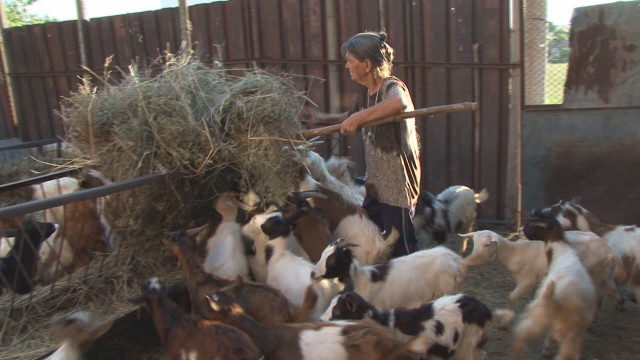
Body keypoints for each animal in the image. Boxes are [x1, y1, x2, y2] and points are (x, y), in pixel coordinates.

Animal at [510, 214, 600, 360]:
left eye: (533, 225)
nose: (519, 230)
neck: (561, 250)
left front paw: (547, 347)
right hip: (572, 333)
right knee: (567, 353)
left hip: (539, 314)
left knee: (522, 333)